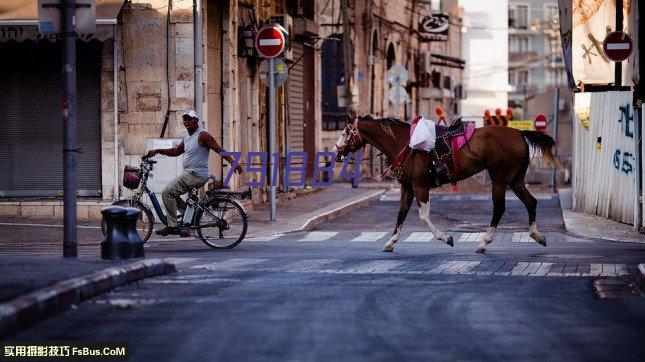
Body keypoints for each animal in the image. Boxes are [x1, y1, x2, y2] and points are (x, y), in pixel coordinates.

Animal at [330, 114, 560, 253]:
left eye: (345, 132)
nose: (335, 151)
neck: (406, 143)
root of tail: (520, 133)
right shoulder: (407, 187)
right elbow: (401, 214)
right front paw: (390, 242)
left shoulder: (420, 187)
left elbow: (423, 217)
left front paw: (446, 238)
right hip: (515, 180)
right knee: (531, 202)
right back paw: (537, 235)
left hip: (500, 179)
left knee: (500, 208)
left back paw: (484, 242)